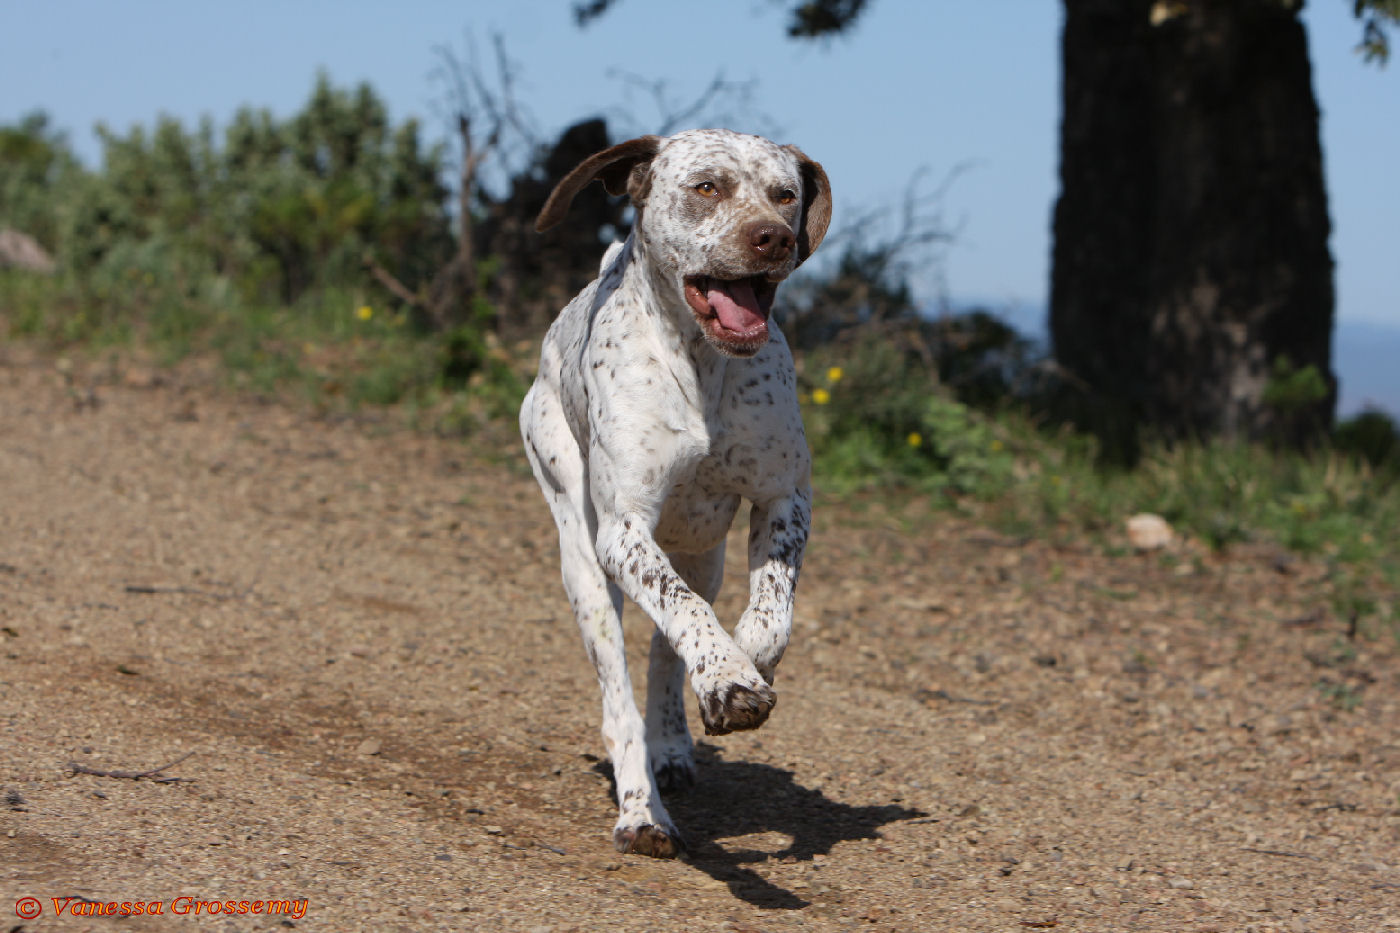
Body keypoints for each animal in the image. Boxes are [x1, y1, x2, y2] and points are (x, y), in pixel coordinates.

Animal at [523, 127, 828, 851]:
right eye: (707, 187)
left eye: (785, 194)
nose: (772, 238)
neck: (702, 368)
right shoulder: (624, 531)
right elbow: (684, 614)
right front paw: (729, 678)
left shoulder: (784, 499)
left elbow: (769, 612)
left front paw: (743, 668)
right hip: (585, 564)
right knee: (623, 695)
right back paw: (642, 810)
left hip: (701, 553)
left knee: (668, 650)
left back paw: (672, 743)